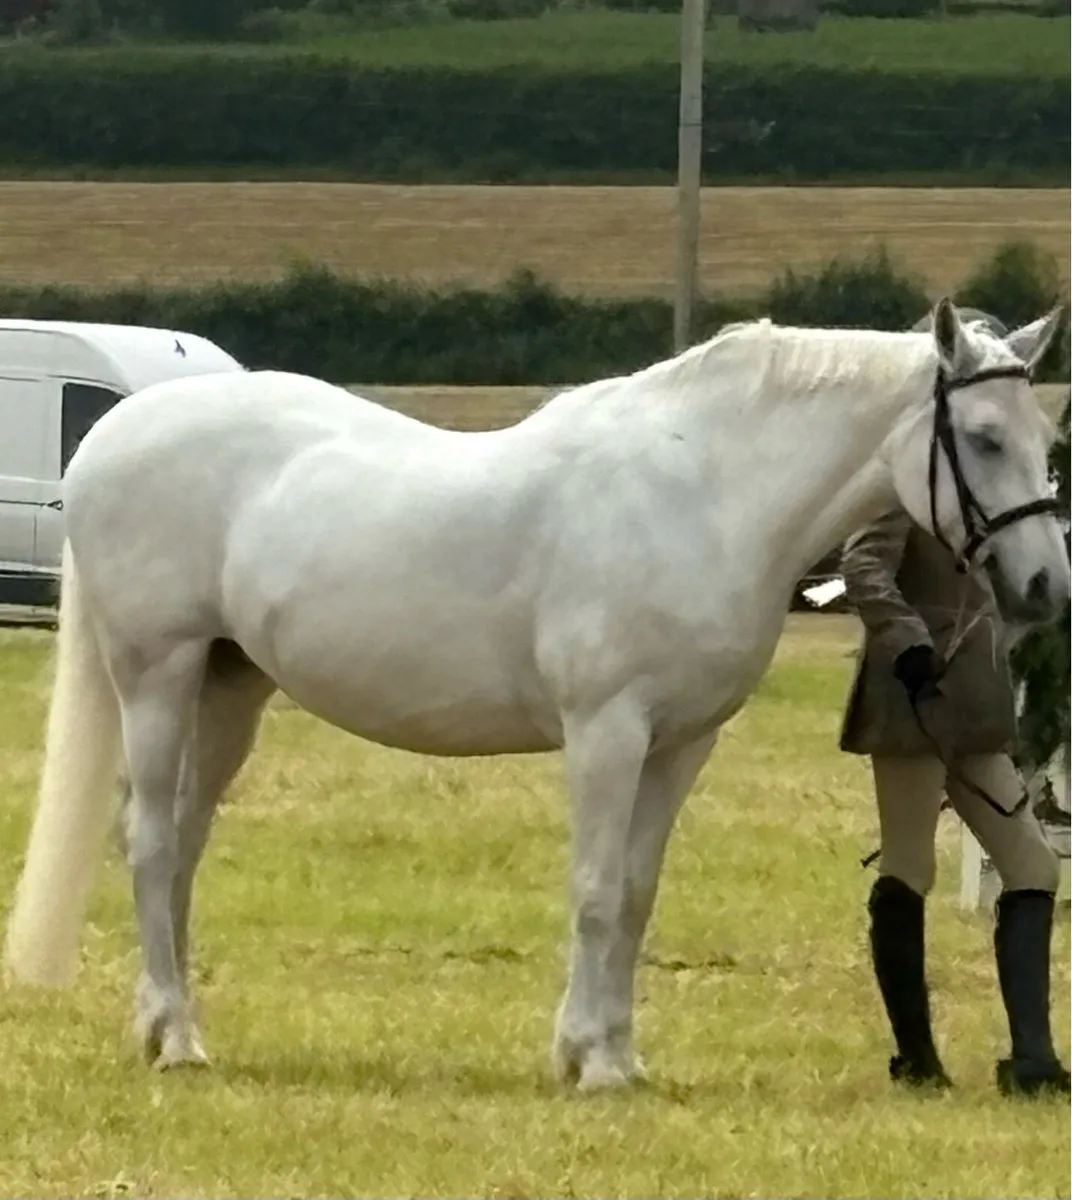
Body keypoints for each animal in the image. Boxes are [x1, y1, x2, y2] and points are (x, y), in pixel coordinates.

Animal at [4, 299, 1067, 1092]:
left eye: (1044, 437)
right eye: (982, 439)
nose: (1046, 586)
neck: (701, 493)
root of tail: (112, 433)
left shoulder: (680, 745)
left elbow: (635, 895)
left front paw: (618, 1057)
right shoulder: (606, 731)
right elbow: (595, 890)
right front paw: (587, 1064)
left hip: (231, 687)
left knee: (181, 846)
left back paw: (168, 1026)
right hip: (157, 672)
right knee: (148, 842)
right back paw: (176, 1041)